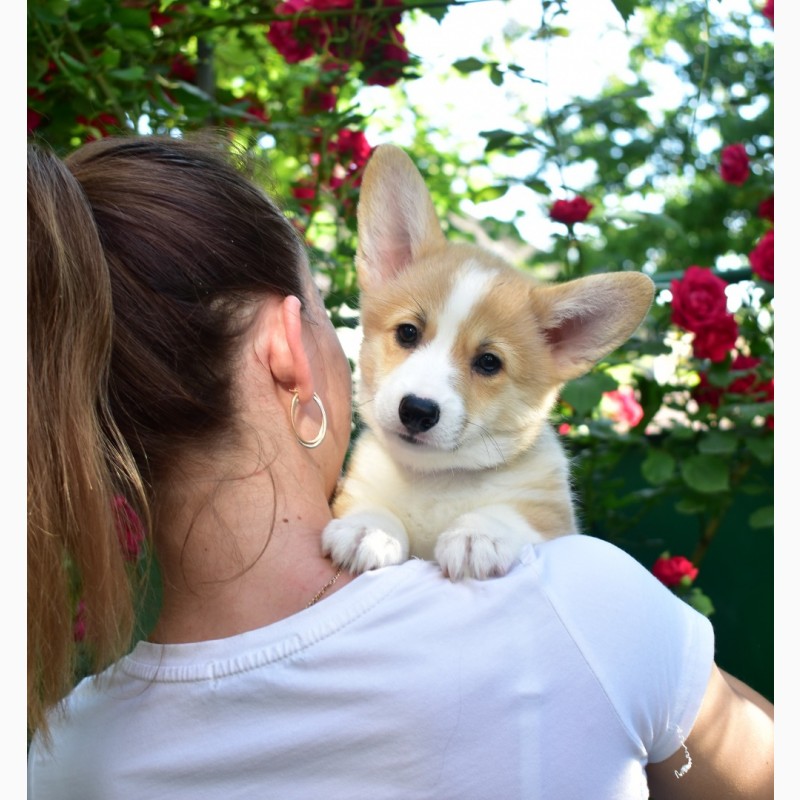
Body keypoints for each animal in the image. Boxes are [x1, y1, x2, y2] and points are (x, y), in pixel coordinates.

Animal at [322, 145, 652, 580]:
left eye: (489, 362)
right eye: (408, 333)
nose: (417, 411)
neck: (436, 480)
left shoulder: (553, 518)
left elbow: (508, 513)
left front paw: (477, 535)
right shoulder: (357, 486)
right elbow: (369, 507)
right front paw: (370, 529)